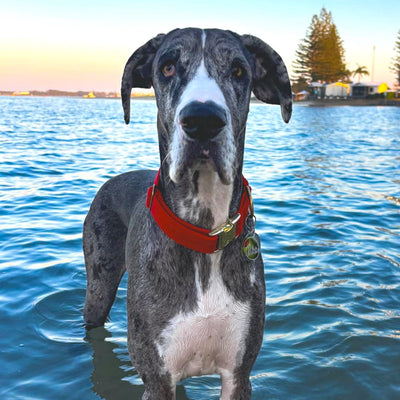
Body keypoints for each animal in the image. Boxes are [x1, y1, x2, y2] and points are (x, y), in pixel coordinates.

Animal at [83, 26, 290, 398]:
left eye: (239, 71)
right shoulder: (158, 379)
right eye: (167, 67)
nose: (203, 120)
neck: (204, 230)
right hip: (99, 286)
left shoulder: (239, 374)